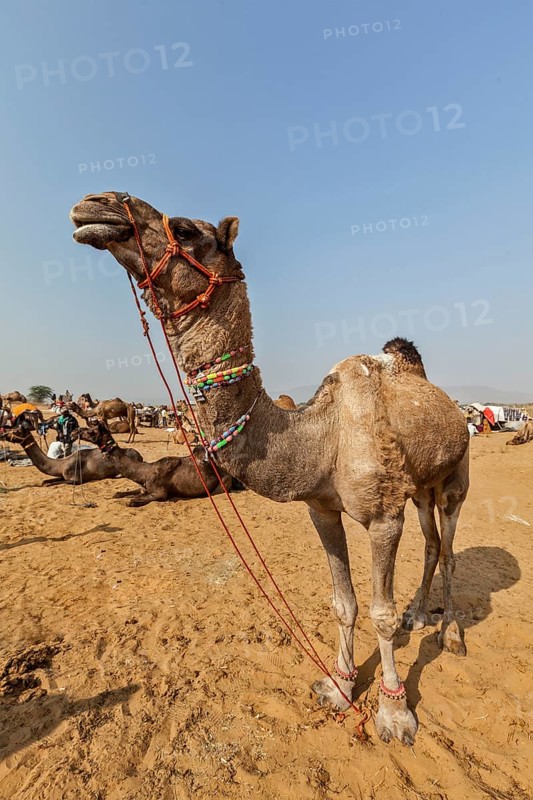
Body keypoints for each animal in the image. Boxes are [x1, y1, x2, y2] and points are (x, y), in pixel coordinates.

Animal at [0, 424, 142, 484]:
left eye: (16, 430)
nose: (4, 434)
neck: (61, 464)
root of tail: (140, 456)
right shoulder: (62, 475)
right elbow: (45, 482)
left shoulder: (74, 479)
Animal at [78, 420, 232, 506]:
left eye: (91, 432)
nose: (78, 431)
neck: (144, 472)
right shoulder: (144, 487)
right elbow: (120, 494)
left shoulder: (160, 492)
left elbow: (134, 500)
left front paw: (132, 500)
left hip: (223, 482)